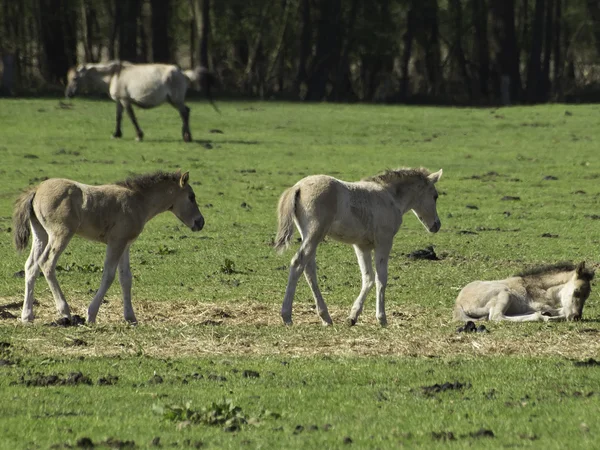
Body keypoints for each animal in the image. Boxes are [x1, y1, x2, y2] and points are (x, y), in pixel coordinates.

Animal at [12, 170, 205, 324]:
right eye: (191, 197)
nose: (200, 222)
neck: (138, 200)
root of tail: (36, 190)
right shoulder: (116, 242)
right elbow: (109, 275)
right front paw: (91, 314)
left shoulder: (125, 244)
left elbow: (125, 278)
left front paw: (131, 317)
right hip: (61, 234)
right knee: (47, 263)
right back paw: (65, 311)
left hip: (41, 234)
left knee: (31, 266)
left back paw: (27, 316)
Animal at [64, 61, 218, 142]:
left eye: (75, 78)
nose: (68, 94)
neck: (114, 75)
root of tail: (183, 73)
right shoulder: (119, 101)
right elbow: (118, 117)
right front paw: (116, 134)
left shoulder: (125, 100)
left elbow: (132, 117)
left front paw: (139, 135)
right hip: (173, 100)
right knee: (186, 112)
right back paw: (186, 135)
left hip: (176, 100)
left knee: (184, 113)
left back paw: (187, 137)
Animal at [274, 167, 442, 326]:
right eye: (435, 196)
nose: (437, 225)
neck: (390, 196)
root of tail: (298, 187)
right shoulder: (384, 242)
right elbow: (381, 279)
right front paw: (382, 318)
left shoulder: (362, 246)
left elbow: (368, 278)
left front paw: (353, 316)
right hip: (315, 233)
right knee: (298, 263)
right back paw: (287, 316)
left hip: (308, 235)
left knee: (309, 269)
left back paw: (325, 317)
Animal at [454, 262, 596, 322]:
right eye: (577, 292)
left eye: (587, 296)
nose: (576, 317)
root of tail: (458, 303)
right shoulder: (539, 304)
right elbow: (561, 311)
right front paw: (549, 315)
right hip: (505, 294)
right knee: (496, 317)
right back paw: (543, 317)